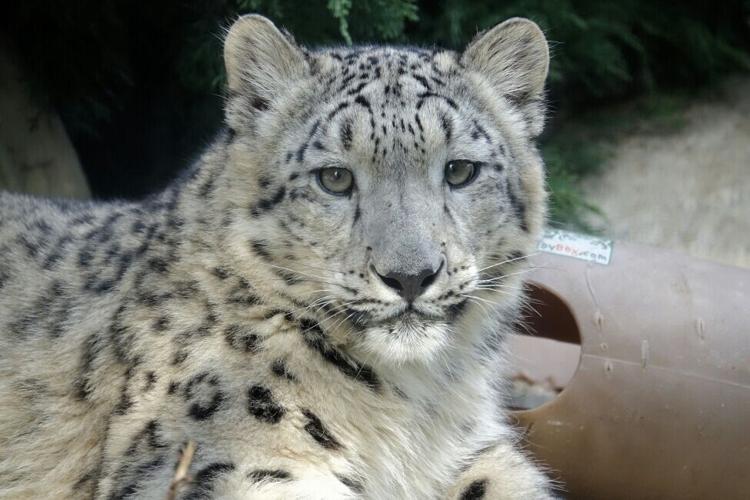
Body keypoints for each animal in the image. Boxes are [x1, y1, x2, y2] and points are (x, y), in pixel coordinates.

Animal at [0, 14, 556, 499]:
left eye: (460, 170)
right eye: (334, 177)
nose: (411, 276)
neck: (415, 403)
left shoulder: (477, 453)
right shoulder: (228, 461)